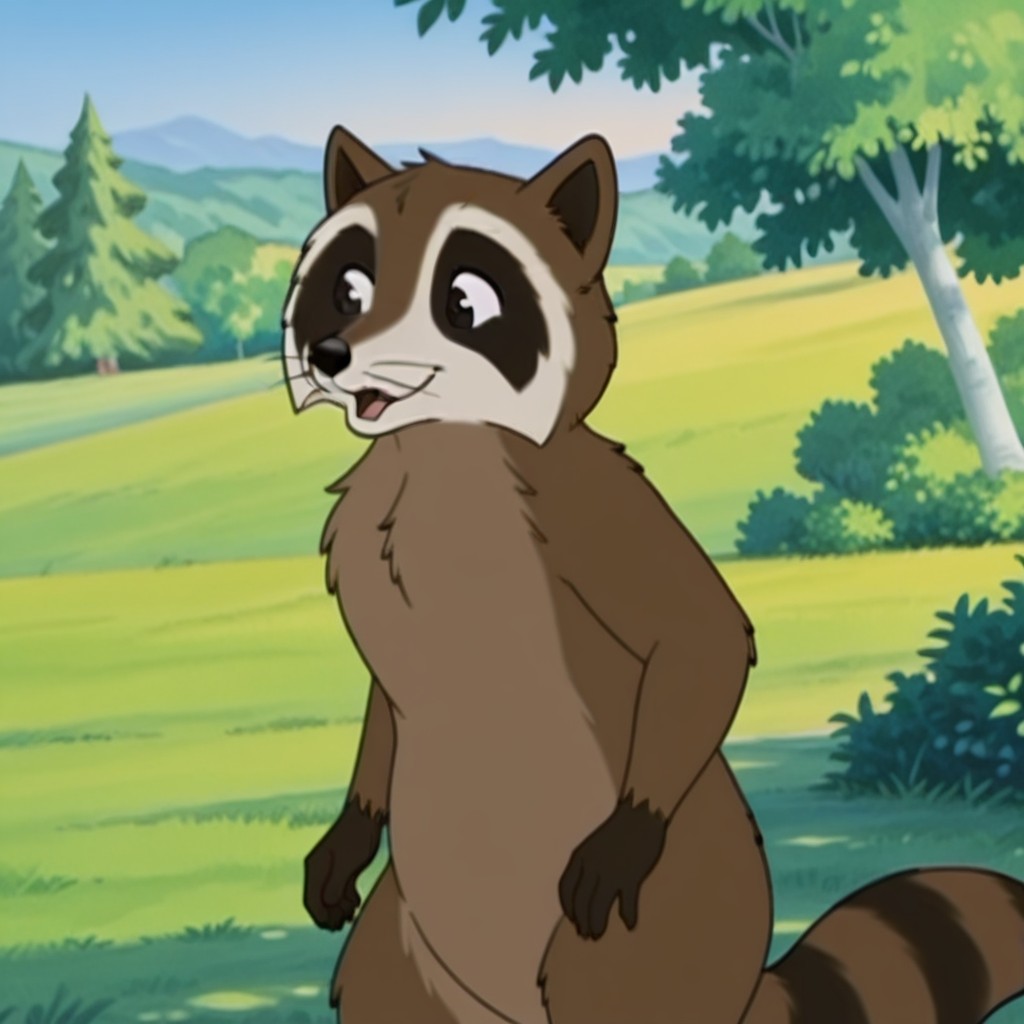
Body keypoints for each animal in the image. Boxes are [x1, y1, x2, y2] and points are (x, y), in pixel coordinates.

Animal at [283, 126, 1024, 1024]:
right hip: (405, 943)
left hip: (647, 941)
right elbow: (385, 709)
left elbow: (702, 638)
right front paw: (351, 827)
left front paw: (628, 829)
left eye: (464, 302)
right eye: (347, 287)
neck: (433, 443)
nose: (329, 354)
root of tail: (750, 993)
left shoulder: (598, 517)